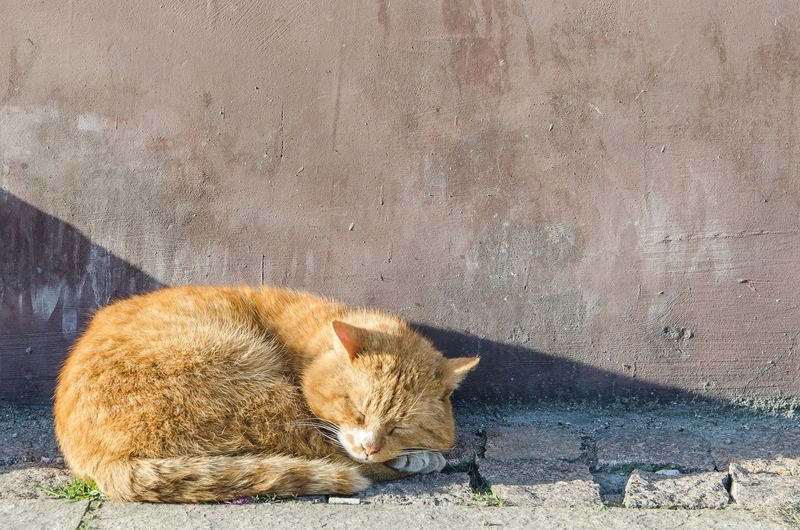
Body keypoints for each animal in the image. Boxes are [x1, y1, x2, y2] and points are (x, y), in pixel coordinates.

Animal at [53, 284, 478, 500]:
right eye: (356, 410)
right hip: (261, 396)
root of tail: (100, 462)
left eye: (398, 427)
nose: (371, 446)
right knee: (338, 461)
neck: (310, 343)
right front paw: (418, 457)